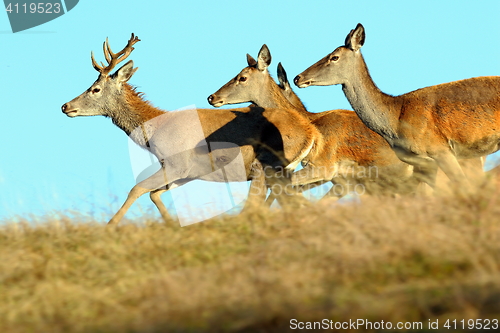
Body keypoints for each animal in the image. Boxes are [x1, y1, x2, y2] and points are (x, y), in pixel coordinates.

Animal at [61, 33, 320, 224]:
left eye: (94, 89)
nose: (65, 106)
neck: (155, 128)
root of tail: (309, 132)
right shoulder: (188, 171)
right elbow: (154, 193)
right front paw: (172, 225)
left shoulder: (178, 163)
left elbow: (137, 188)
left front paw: (110, 227)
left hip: (264, 165)